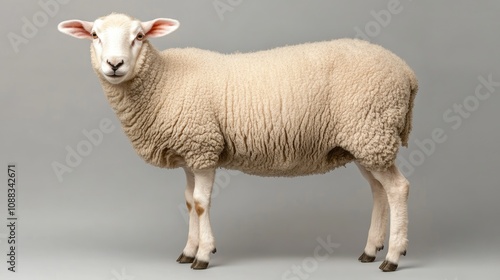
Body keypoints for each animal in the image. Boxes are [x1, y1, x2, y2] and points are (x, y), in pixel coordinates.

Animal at [57, 12, 418, 272]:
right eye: (95, 35)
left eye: (139, 36)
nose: (114, 64)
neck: (164, 80)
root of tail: (407, 72)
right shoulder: (190, 153)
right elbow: (188, 202)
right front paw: (188, 251)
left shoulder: (203, 146)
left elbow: (201, 203)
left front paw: (203, 255)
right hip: (365, 141)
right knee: (379, 191)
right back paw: (370, 250)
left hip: (371, 130)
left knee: (398, 189)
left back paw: (392, 257)